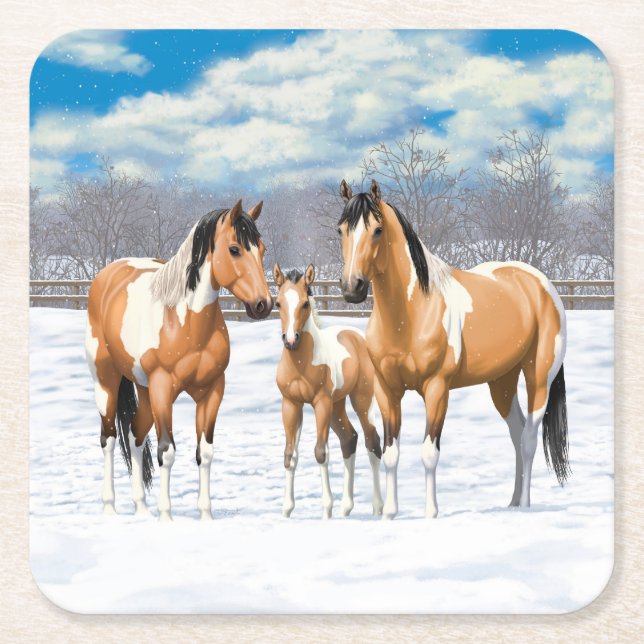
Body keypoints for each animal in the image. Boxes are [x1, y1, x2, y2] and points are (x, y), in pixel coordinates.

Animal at [85, 199, 273, 521]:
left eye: (261, 249)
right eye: (235, 249)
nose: (264, 304)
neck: (184, 322)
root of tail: (107, 274)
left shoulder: (212, 390)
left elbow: (205, 453)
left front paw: (206, 515)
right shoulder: (163, 389)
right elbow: (167, 452)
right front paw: (166, 517)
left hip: (145, 390)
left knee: (134, 436)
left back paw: (141, 508)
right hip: (106, 381)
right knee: (108, 439)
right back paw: (110, 508)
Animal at [273, 262, 384, 519]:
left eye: (305, 303)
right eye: (278, 303)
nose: (290, 340)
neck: (301, 363)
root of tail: (357, 337)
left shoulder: (320, 403)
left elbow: (320, 452)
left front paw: (326, 510)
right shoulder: (290, 404)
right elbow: (289, 455)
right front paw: (286, 510)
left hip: (360, 401)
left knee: (372, 441)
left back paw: (377, 508)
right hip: (337, 406)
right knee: (349, 439)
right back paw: (346, 508)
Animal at [336, 179, 570, 519]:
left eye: (377, 230)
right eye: (340, 229)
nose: (352, 288)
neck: (411, 313)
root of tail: (541, 283)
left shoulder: (437, 389)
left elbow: (428, 452)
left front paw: (430, 513)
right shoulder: (386, 389)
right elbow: (391, 452)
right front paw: (390, 513)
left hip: (538, 378)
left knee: (528, 438)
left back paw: (525, 505)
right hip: (502, 382)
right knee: (516, 433)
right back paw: (512, 502)